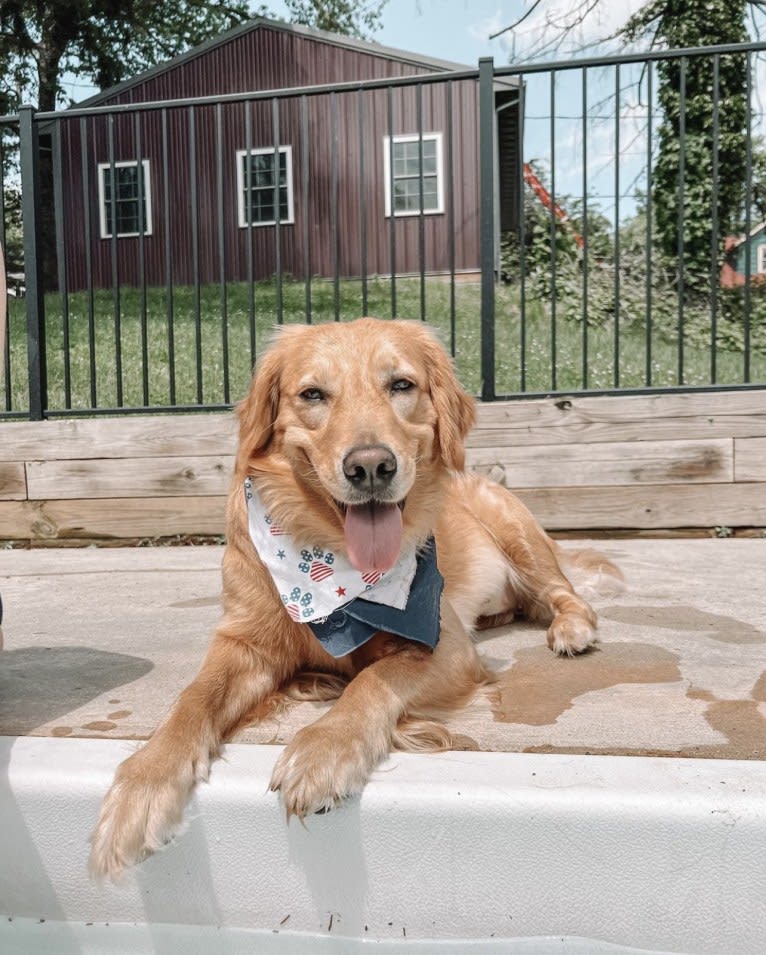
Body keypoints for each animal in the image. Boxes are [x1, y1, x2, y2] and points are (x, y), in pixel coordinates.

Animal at [88, 318, 624, 876]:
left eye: (401, 385)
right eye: (313, 394)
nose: (370, 467)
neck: (330, 565)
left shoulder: (448, 647)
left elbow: (373, 680)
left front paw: (324, 749)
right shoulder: (243, 641)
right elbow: (194, 699)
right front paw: (143, 785)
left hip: (513, 525)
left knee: (562, 592)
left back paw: (571, 628)